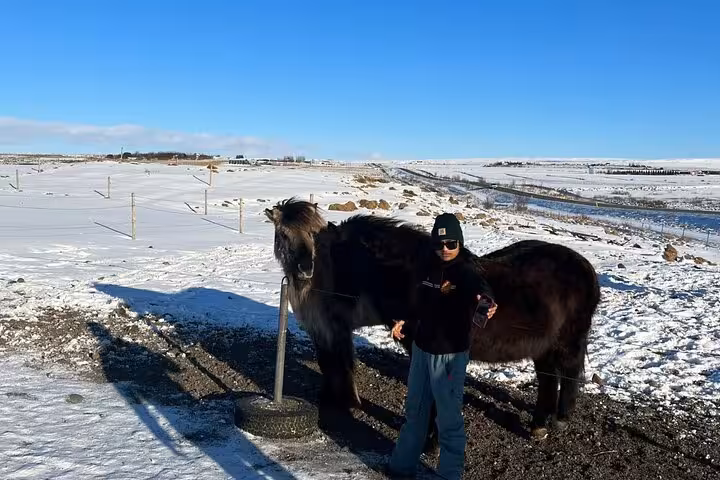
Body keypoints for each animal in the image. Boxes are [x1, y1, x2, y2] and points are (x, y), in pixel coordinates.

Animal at [264, 198, 600, 440]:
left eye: (315, 237)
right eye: (283, 235)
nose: (305, 269)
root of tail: (584, 266)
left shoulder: (337, 327)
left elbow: (342, 364)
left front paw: (347, 404)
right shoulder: (328, 328)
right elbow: (330, 363)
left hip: (568, 343)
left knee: (568, 375)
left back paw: (559, 420)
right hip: (542, 346)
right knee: (548, 379)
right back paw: (539, 424)